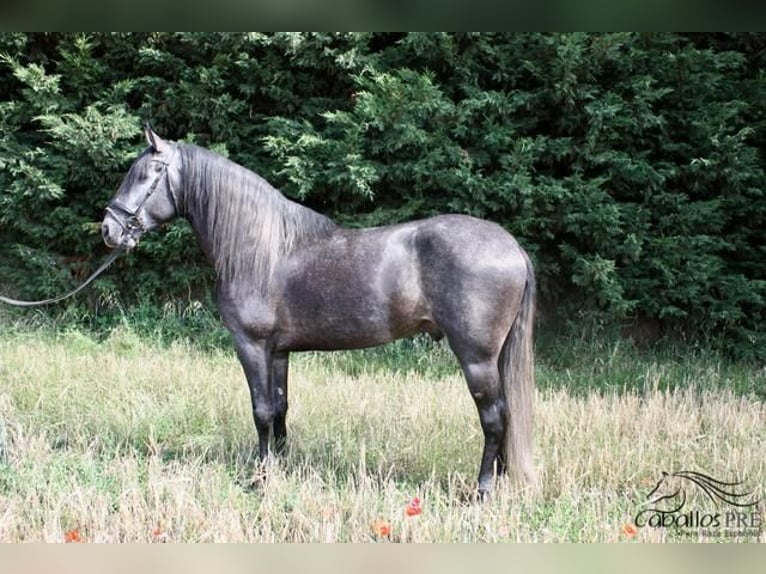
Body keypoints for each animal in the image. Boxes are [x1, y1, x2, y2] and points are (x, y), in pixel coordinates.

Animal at [102, 128, 536, 498]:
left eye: (144, 175)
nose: (109, 229)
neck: (262, 248)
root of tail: (511, 246)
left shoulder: (251, 345)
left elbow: (261, 411)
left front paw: (260, 479)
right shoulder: (278, 352)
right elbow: (279, 409)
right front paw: (279, 467)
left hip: (476, 359)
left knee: (494, 418)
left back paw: (482, 490)